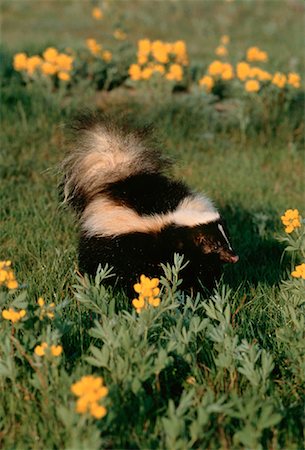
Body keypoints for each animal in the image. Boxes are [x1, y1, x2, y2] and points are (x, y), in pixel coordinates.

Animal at [61, 114, 238, 294]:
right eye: (214, 245)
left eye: (227, 238)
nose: (233, 256)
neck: (174, 218)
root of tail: (121, 179)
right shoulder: (146, 245)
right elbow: (149, 270)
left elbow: (200, 271)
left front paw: (200, 291)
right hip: (101, 242)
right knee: (98, 263)